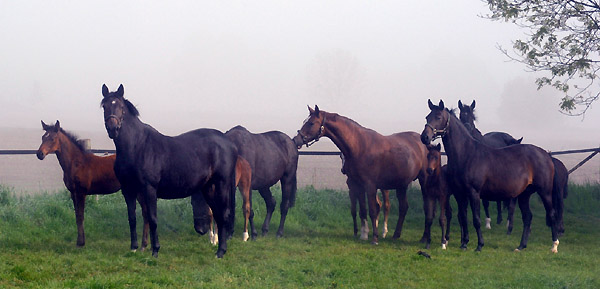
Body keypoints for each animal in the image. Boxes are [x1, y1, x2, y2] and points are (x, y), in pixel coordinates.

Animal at [36, 119, 150, 248]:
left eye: (52, 138)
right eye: (43, 137)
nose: (39, 154)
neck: (76, 164)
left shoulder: (81, 192)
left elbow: (81, 216)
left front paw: (81, 243)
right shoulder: (73, 193)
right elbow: (77, 216)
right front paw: (79, 241)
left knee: (146, 213)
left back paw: (143, 245)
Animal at [101, 84, 237, 258]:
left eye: (121, 107)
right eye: (104, 106)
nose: (113, 128)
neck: (137, 146)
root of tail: (229, 143)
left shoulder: (149, 189)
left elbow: (152, 219)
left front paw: (155, 250)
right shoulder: (128, 190)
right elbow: (132, 218)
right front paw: (134, 248)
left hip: (222, 184)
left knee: (223, 214)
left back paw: (221, 252)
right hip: (207, 187)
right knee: (218, 214)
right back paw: (219, 250)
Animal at [292, 104, 428, 243]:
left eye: (311, 123)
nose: (296, 140)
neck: (359, 146)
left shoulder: (370, 185)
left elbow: (372, 210)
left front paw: (374, 238)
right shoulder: (357, 184)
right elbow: (362, 210)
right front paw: (364, 234)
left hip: (421, 181)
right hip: (402, 185)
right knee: (403, 207)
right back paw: (396, 235)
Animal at [460, 100, 520, 228]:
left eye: (473, 117)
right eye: (461, 116)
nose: (466, 130)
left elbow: (485, 202)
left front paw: (488, 222)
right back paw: (499, 219)